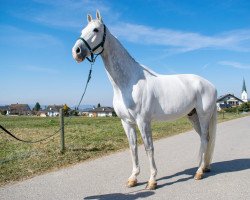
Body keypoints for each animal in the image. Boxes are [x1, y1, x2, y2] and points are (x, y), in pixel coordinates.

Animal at [72, 10, 217, 190]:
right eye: (82, 30)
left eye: (96, 30)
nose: (77, 51)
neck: (128, 83)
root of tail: (210, 85)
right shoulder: (127, 122)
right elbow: (133, 148)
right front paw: (133, 178)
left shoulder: (143, 121)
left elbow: (149, 148)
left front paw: (152, 180)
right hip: (193, 116)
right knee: (205, 139)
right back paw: (204, 167)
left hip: (204, 116)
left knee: (204, 138)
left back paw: (198, 172)